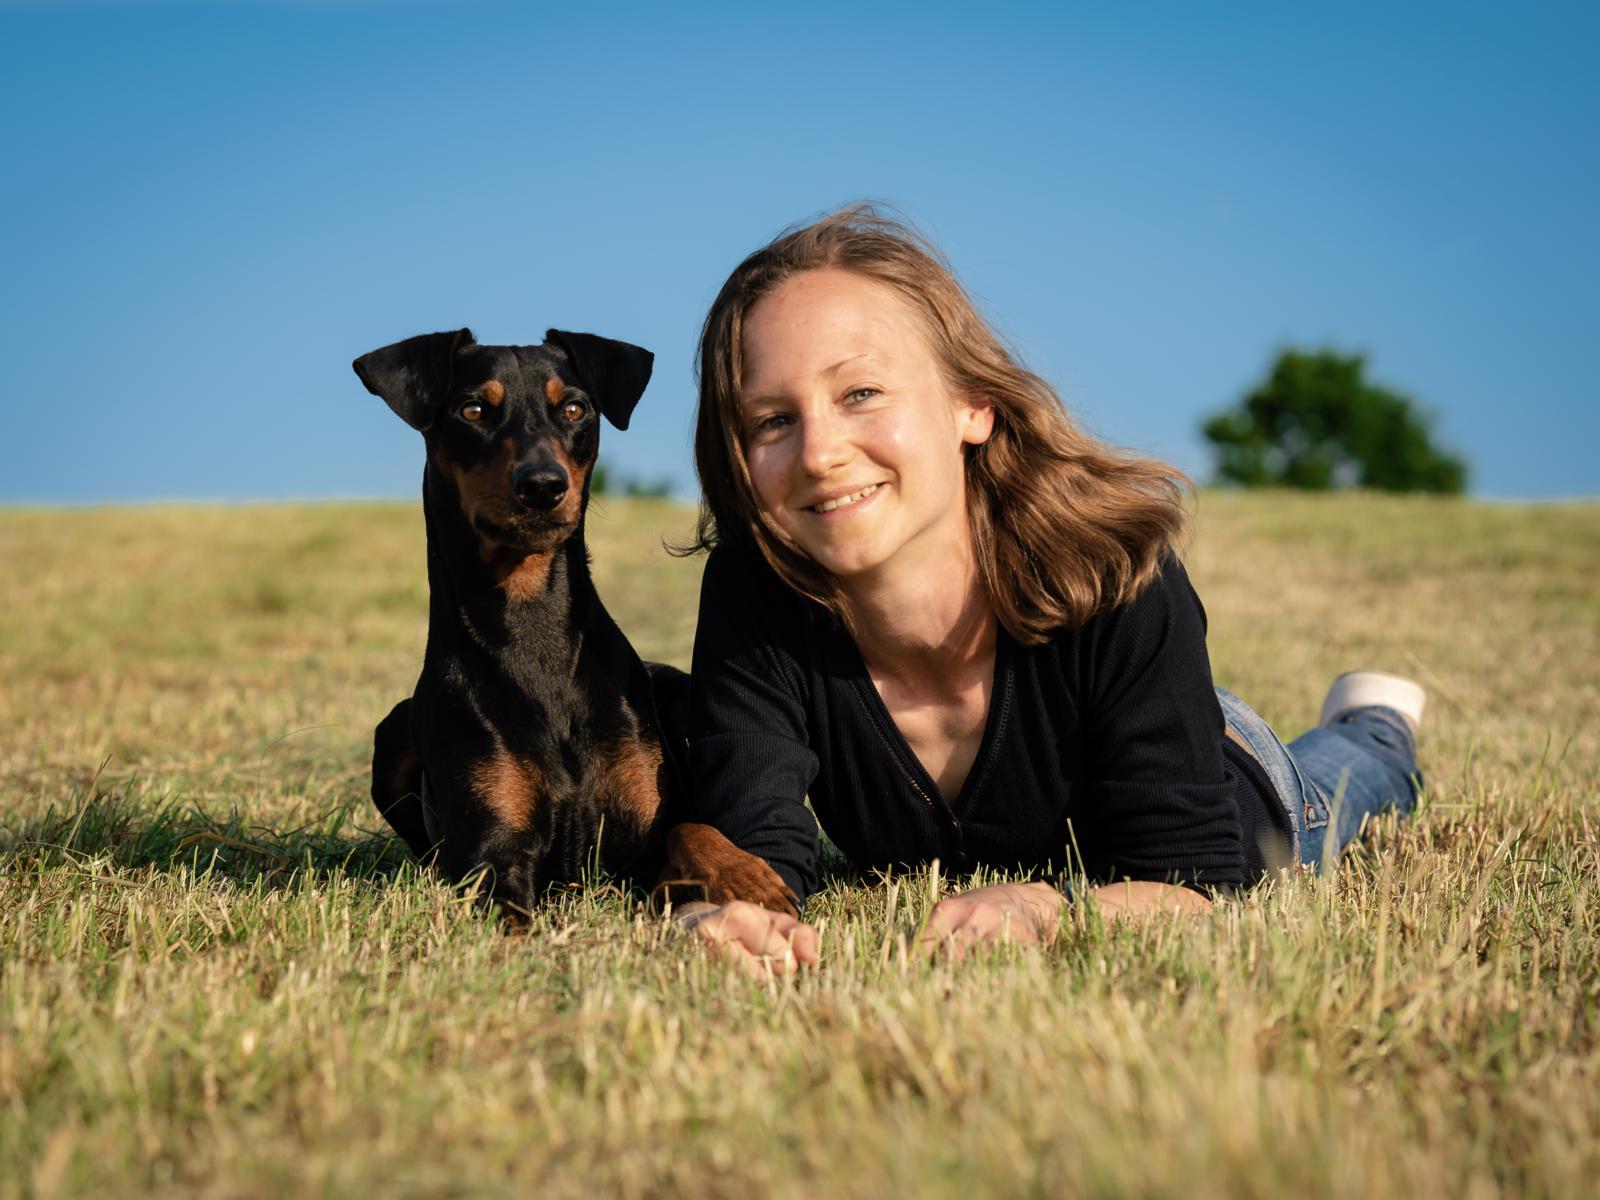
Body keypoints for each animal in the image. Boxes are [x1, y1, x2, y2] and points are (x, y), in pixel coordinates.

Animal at [355, 326, 793, 921]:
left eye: (573, 408)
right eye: (472, 410)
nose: (542, 484)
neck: (531, 616)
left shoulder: (646, 828)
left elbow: (691, 827)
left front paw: (745, 875)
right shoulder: (493, 857)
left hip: (680, 688)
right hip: (394, 732)